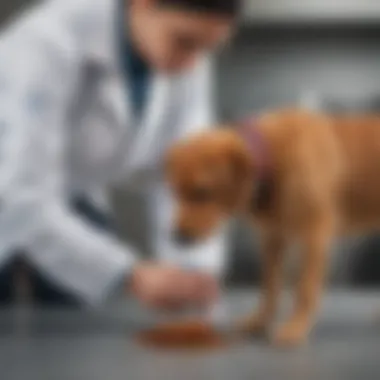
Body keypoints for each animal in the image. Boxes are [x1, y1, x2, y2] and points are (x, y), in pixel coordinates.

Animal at [166, 108, 380, 346]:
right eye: (175, 193)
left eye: (202, 192)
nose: (177, 236)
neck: (273, 155)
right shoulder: (272, 238)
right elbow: (270, 287)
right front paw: (260, 322)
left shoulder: (315, 235)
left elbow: (304, 289)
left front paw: (296, 327)